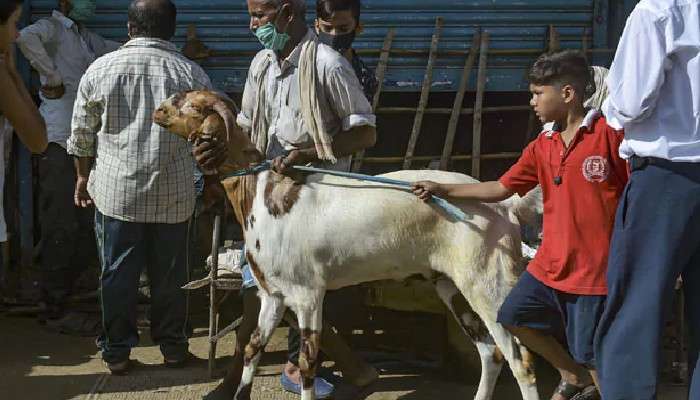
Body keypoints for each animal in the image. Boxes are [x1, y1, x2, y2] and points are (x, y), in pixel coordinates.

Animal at [156, 90, 544, 400]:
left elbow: (308, 362)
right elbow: (252, 347)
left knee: (521, 360)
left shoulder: (308, 295)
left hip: (489, 284)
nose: (157, 110)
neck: (264, 191)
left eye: (187, 101)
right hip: (450, 283)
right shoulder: (272, 295)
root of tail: (507, 206)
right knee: (491, 353)